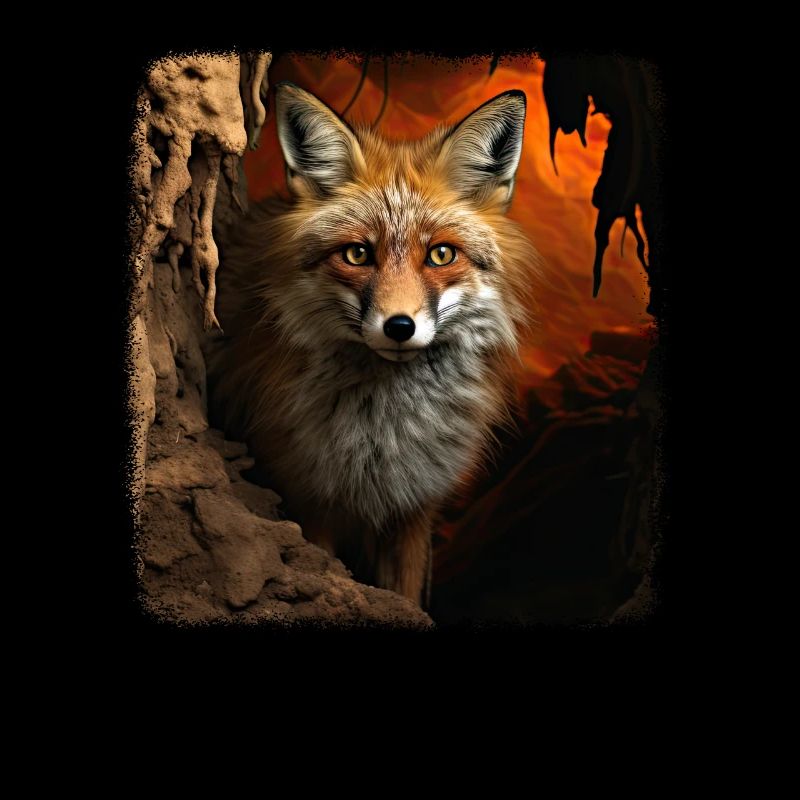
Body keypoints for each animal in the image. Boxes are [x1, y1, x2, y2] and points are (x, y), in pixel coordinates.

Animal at [207, 81, 541, 608]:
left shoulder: (414, 510)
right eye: (357, 254)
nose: (399, 326)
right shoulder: (309, 502)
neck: (383, 438)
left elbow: (405, 595)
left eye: (440, 254)